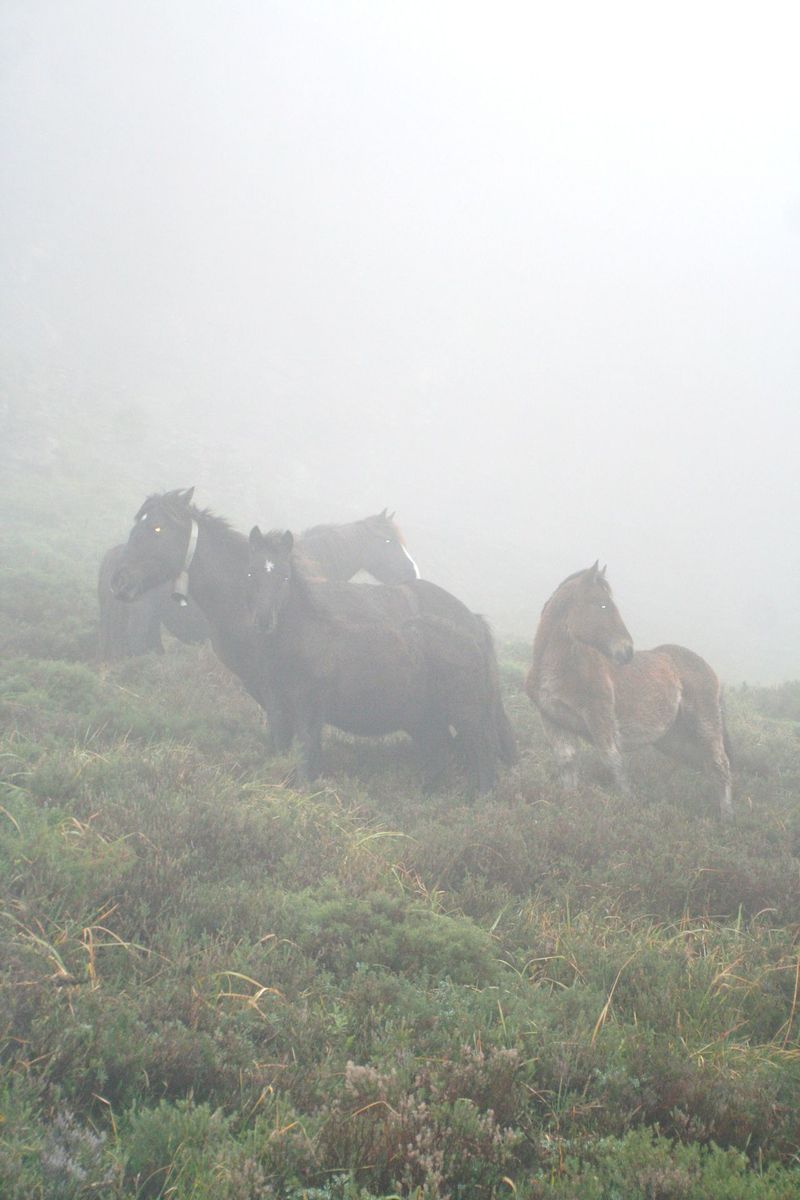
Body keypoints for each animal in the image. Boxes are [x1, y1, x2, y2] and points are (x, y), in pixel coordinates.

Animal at [246, 526, 516, 793]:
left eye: (285, 576)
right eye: (251, 572)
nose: (263, 620)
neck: (306, 641)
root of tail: (474, 638)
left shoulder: (308, 710)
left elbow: (305, 757)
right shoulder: (278, 708)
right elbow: (283, 752)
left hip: (467, 714)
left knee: (483, 751)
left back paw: (479, 798)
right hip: (428, 718)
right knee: (442, 753)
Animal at [524, 563, 733, 818]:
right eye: (602, 604)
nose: (627, 651)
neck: (560, 667)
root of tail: (710, 671)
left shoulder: (600, 719)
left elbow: (613, 761)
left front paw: (627, 803)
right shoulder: (553, 720)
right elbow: (567, 761)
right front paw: (569, 803)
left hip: (705, 725)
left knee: (720, 765)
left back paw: (727, 817)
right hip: (674, 740)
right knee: (707, 766)